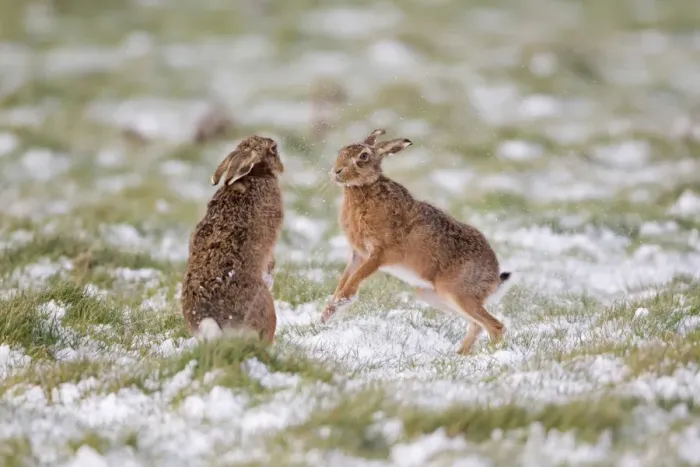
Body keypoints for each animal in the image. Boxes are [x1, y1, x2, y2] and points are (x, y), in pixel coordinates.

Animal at [181, 135, 284, 343]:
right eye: (273, 149)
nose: (281, 167)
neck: (255, 175)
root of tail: (209, 319)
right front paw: (271, 274)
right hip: (265, 311)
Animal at [320, 128, 512, 355]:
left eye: (363, 156)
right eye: (341, 151)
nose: (336, 171)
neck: (364, 189)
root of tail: (493, 278)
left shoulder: (379, 253)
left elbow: (355, 280)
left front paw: (341, 302)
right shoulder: (358, 254)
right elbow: (344, 279)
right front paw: (327, 313)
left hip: (457, 293)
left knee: (495, 326)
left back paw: (488, 355)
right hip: (435, 296)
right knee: (477, 324)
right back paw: (459, 355)